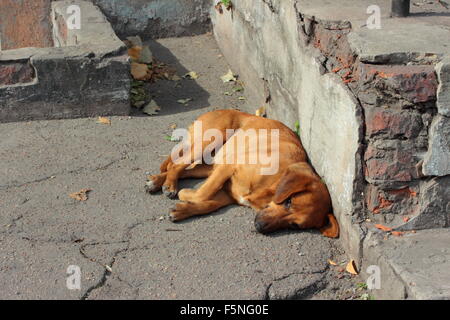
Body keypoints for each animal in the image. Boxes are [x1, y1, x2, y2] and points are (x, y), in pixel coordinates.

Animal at [146, 110, 340, 238]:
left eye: (294, 226)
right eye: (288, 202)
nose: (259, 226)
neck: (272, 183)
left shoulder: (228, 193)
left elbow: (209, 203)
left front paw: (182, 209)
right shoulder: (230, 166)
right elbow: (204, 193)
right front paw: (185, 194)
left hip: (211, 163)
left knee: (185, 169)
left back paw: (157, 181)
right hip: (210, 141)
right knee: (176, 164)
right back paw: (169, 185)